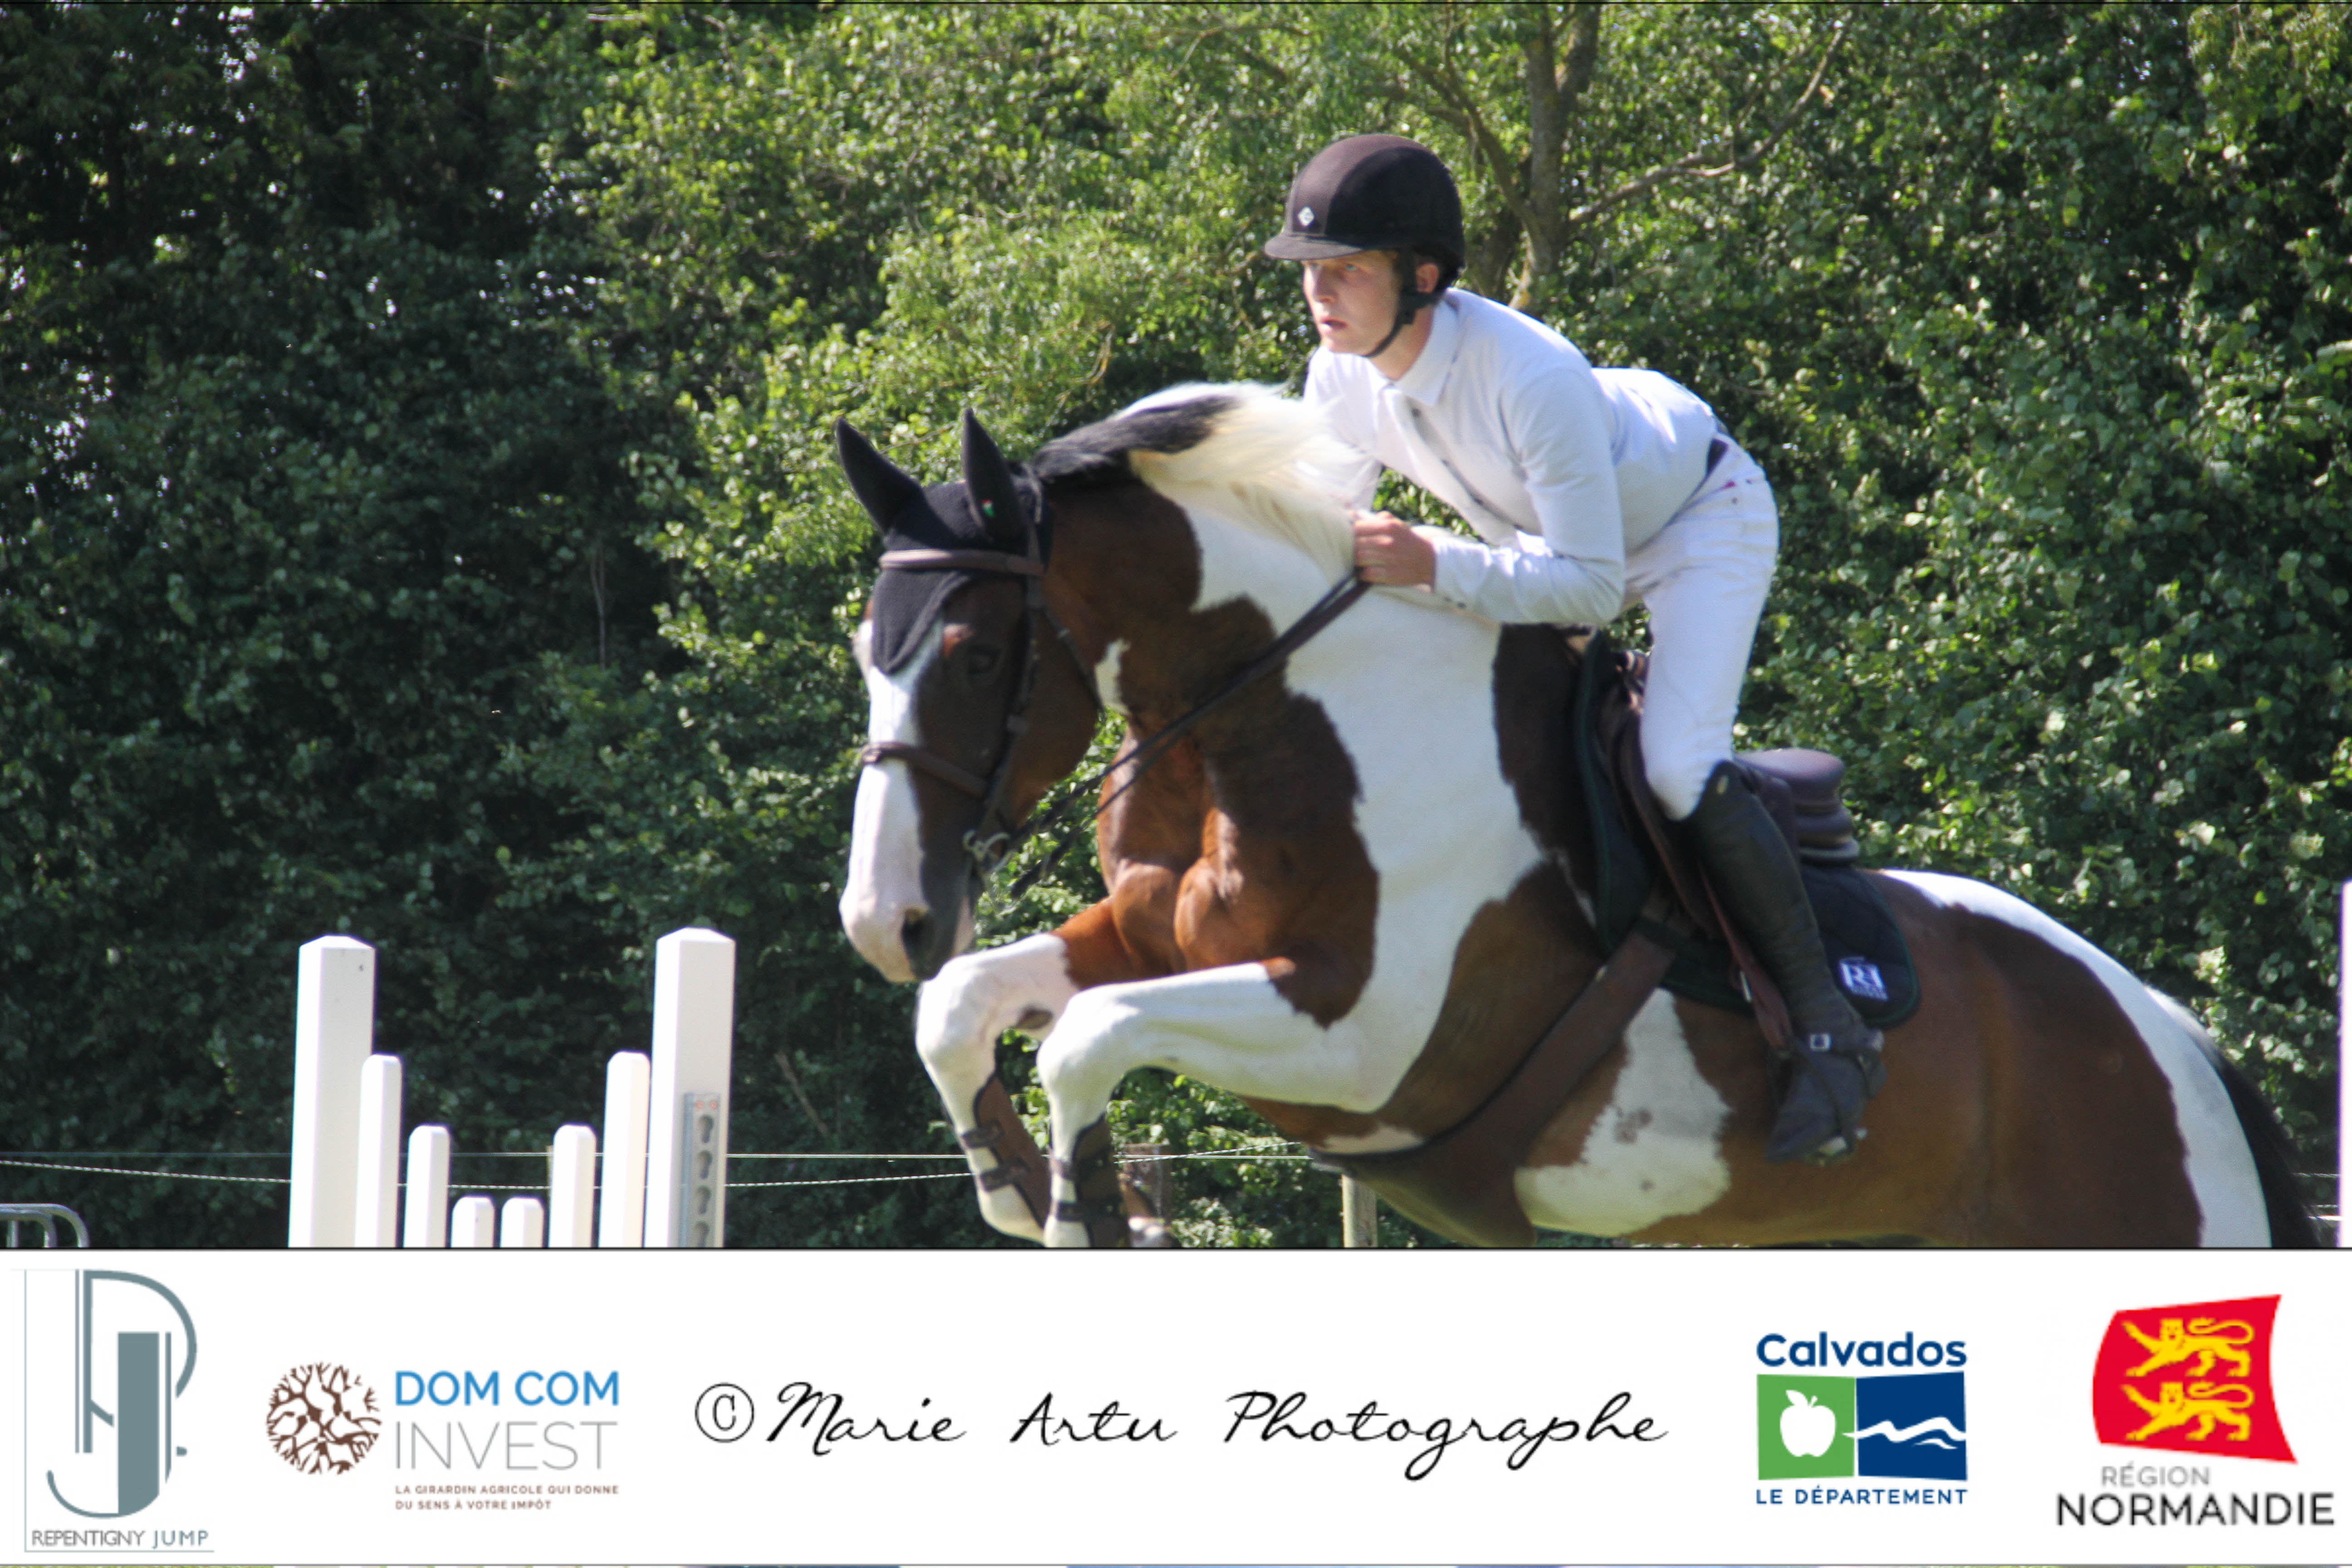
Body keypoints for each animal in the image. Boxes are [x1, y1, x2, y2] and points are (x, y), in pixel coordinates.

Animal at [834, 383, 2320, 1249]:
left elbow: (1085, 1035)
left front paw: (1091, 1211)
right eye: (866, 646)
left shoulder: (1360, 1040)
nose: (882, 919)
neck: (1282, 714)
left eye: (973, 653)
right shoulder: (1160, 939)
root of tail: (2175, 1036)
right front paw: (1010, 1182)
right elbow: (965, 1004)